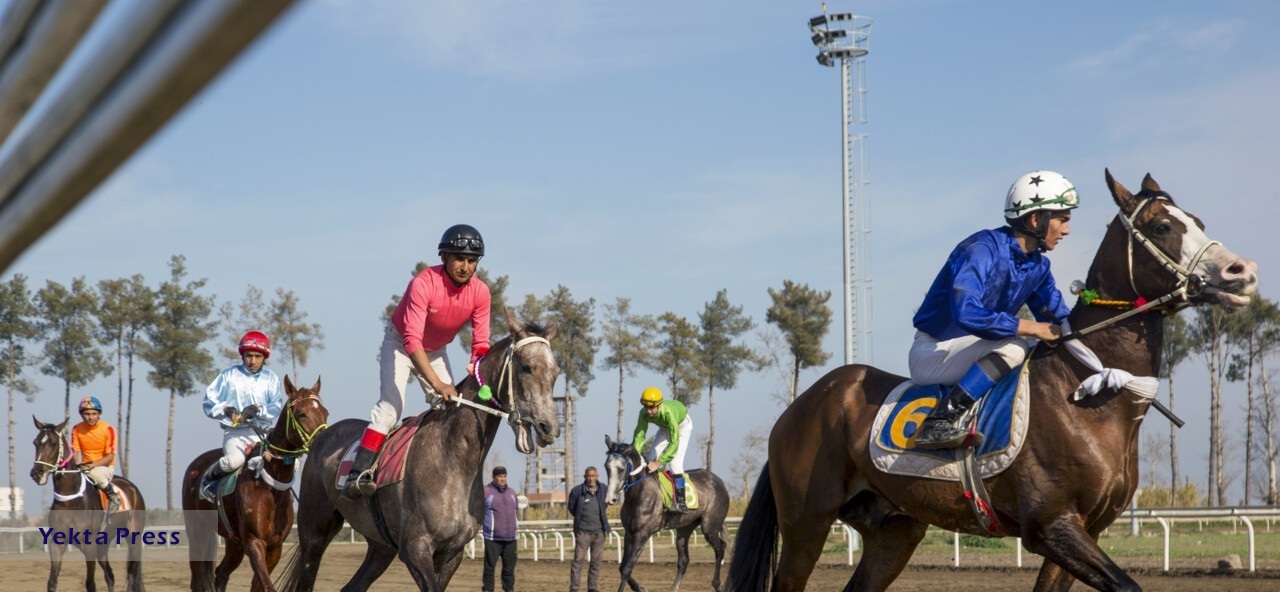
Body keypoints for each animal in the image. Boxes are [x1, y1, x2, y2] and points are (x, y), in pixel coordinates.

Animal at [30, 415, 146, 592]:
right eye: (35, 442)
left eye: (53, 443)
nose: (37, 474)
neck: (70, 501)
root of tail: (132, 488)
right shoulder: (57, 544)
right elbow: (52, 582)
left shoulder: (89, 545)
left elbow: (90, 583)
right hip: (104, 543)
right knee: (110, 575)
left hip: (133, 537)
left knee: (132, 574)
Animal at [181, 376, 330, 592]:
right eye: (302, 414)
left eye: (325, 412)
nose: (323, 443)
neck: (271, 487)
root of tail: (195, 465)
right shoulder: (254, 541)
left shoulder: (275, 546)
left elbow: (258, 585)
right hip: (198, 532)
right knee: (198, 580)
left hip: (234, 542)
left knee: (221, 574)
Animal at [275, 310, 560, 592]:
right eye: (526, 367)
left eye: (556, 372)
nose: (549, 428)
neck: (452, 459)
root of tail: (322, 435)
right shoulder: (415, 549)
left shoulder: (452, 552)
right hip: (314, 533)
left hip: (380, 547)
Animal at [606, 435, 737, 592]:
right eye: (606, 467)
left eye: (621, 469)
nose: (610, 499)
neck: (639, 493)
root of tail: (718, 481)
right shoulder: (629, 533)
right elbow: (622, 567)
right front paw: (640, 588)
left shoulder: (642, 534)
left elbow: (627, 569)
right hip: (685, 528)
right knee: (684, 560)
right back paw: (675, 588)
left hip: (710, 526)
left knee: (720, 548)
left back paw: (717, 584)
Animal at [732, 171, 1259, 592]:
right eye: (1163, 226)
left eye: (1198, 220)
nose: (1244, 271)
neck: (1092, 396)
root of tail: (802, 404)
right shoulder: (1051, 526)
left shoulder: (1084, 530)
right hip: (806, 522)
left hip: (894, 528)